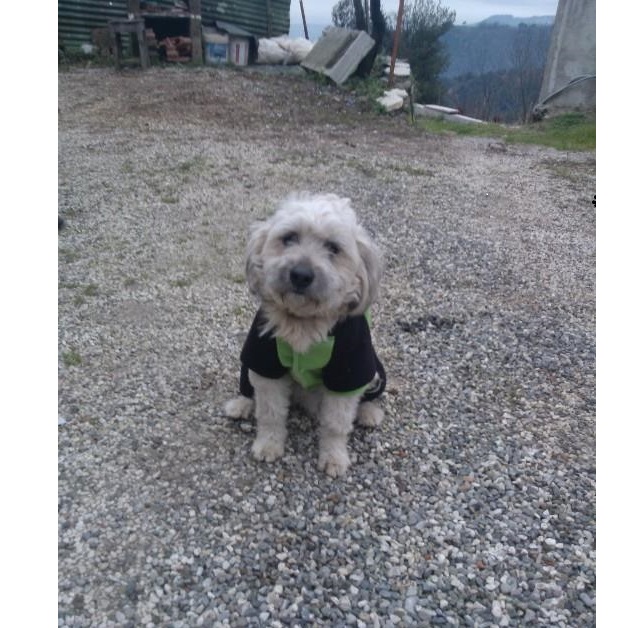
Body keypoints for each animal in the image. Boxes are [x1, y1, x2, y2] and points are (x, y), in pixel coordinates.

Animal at [224, 193, 386, 477]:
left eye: (334, 248)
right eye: (289, 238)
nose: (300, 275)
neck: (303, 323)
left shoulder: (349, 371)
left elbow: (336, 424)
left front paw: (334, 457)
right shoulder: (264, 362)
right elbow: (270, 413)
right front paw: (268, 445)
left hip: (373, 371)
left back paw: (369, 412)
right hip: (249, 364)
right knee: (247, 388)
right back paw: (241, 404)